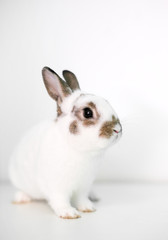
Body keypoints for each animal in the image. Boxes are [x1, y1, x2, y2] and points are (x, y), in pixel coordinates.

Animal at [8, 67, 122, 219]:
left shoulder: (83, 186)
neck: (81, 151)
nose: (117, 130)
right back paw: (21, 198)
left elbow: (81, 198)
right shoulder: (56, 187)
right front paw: (69, 213)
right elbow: (60, 200)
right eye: (87, 112)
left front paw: (88, 208)